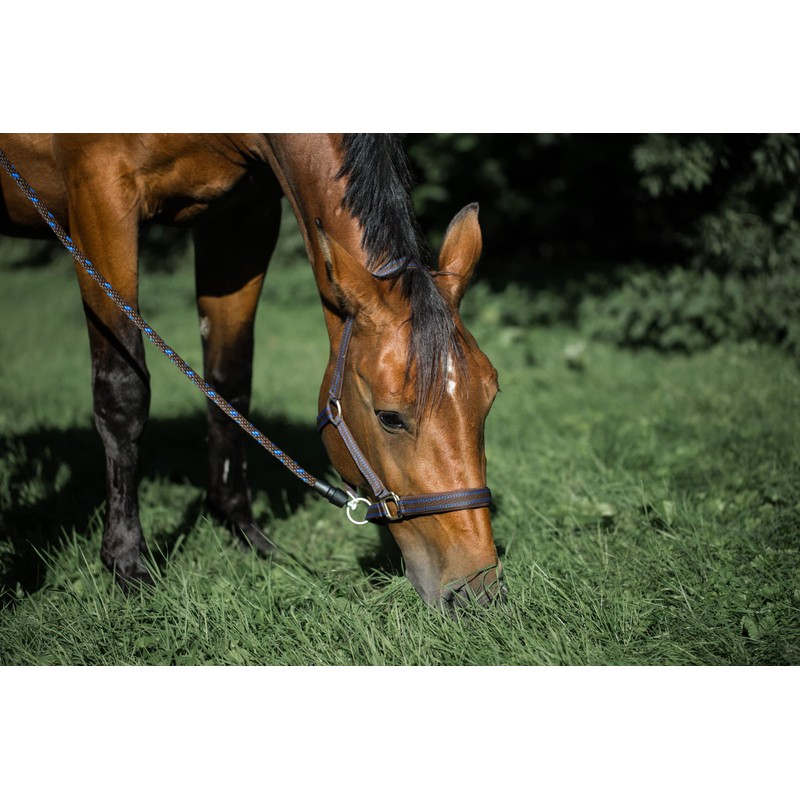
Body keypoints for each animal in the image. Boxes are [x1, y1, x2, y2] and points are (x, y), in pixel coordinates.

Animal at [0, 134, 503, 610]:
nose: (477, 589)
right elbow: (122, 393)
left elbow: (229, 384)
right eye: (389, 417)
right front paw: (126, 561)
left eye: (490, 399)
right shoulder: (99, 194)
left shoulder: (242, 219)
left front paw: (241, 529)